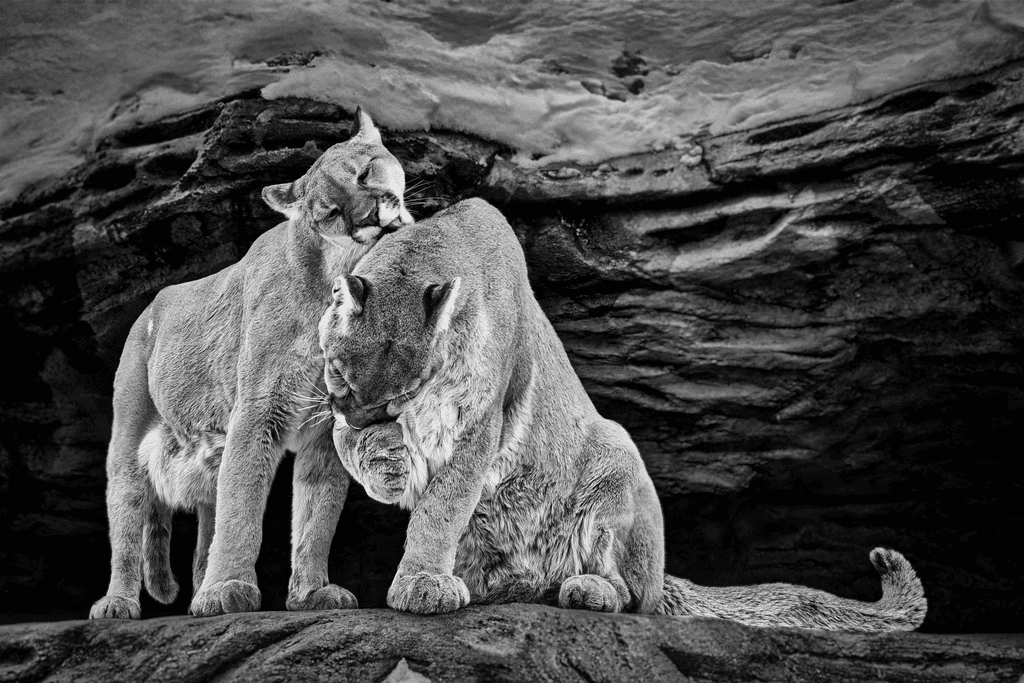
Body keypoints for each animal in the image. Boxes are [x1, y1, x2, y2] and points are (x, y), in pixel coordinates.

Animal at [89, 109, 411, 619]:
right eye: (330, 212)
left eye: (363, 174)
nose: (366, 218)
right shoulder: (258, 411)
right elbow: (241, 506)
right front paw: (228, 590)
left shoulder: (325, 427)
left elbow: (316, 514)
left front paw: (310, 592)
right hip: (128, 438)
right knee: (126, 515)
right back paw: (118, 602)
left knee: (205, 524)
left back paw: (197, 593)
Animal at [318, 198, 927, 631]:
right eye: (343, 377)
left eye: (402, 398)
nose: (368, 417)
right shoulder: (335, 409)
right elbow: (347, 445)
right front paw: (387, 465)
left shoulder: (480, 427)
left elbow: (441, 508)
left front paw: (420, 582)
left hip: (617, 461)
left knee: (636, 598)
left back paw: (586, 589)